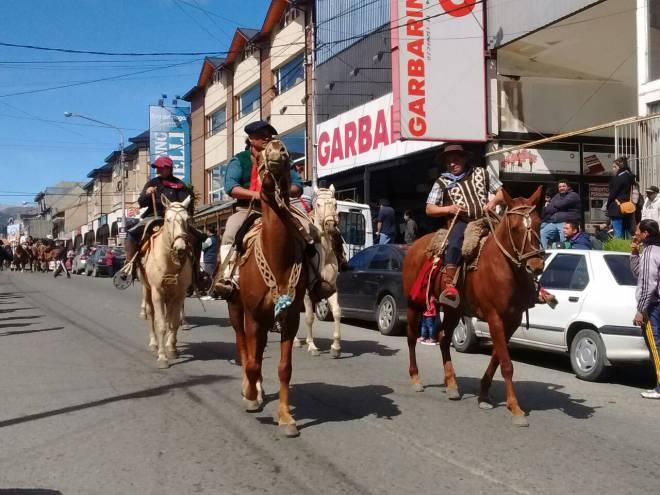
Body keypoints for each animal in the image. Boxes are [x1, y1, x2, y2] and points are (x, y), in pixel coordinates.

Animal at [139, 196, 192, 370]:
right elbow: (161, 324)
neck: (169, 262)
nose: (180, 248)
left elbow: (173, 323)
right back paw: (154, 343)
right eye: (168, 219)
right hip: (147, 290)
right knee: (151, 314)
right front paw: (162, 357)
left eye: (187, 219)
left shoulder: (179, 294)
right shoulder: (157, 293)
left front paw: (172, 349)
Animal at [227, 140, 306, 438]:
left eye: (287, 157)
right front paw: (250, 396)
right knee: (244, 346)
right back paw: (250, 389)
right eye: (259, 155)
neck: (276, 257)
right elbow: (251, 360)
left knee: (257, 351)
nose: (276, 148)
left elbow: (284, 368)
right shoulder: (253, 314)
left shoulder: (290, 316)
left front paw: (286, 418)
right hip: (236, 308)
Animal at [296, 184, 342, 358]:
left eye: (335, 204)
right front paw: (312, 346)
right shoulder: (307, 293)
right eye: (319, 205)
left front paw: (336, 347)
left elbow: (337, 312)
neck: (323, 255)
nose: (330, 224)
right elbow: (309, 318)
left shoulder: (331, 289)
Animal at [402, 188, 548, 428]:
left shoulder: (512, 320)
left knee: (443, 338)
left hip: (454, 310)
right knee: (412, 338)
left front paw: (484, 395)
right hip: (415, 302)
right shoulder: (494, 317)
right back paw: (415, 378)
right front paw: (515, 409)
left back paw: (452, 384)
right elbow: (506, 364)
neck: (505, 268)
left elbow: (498, 357)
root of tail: (415, 245)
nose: (535, 265)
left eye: (538, 223)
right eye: (515, 228)